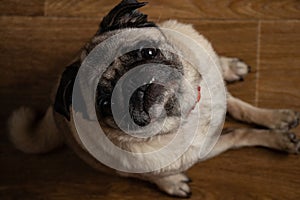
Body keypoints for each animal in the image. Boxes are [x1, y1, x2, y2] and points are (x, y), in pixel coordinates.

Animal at [8, 0, 300, 197]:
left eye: (147, 52)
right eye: (104, 103)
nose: (132, 86)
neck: (182, 112)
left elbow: (243, 111)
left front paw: (276, 120)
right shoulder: (209, 148)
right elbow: (240, 135)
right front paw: (278, 138)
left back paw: (229, 66)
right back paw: (171, 183)